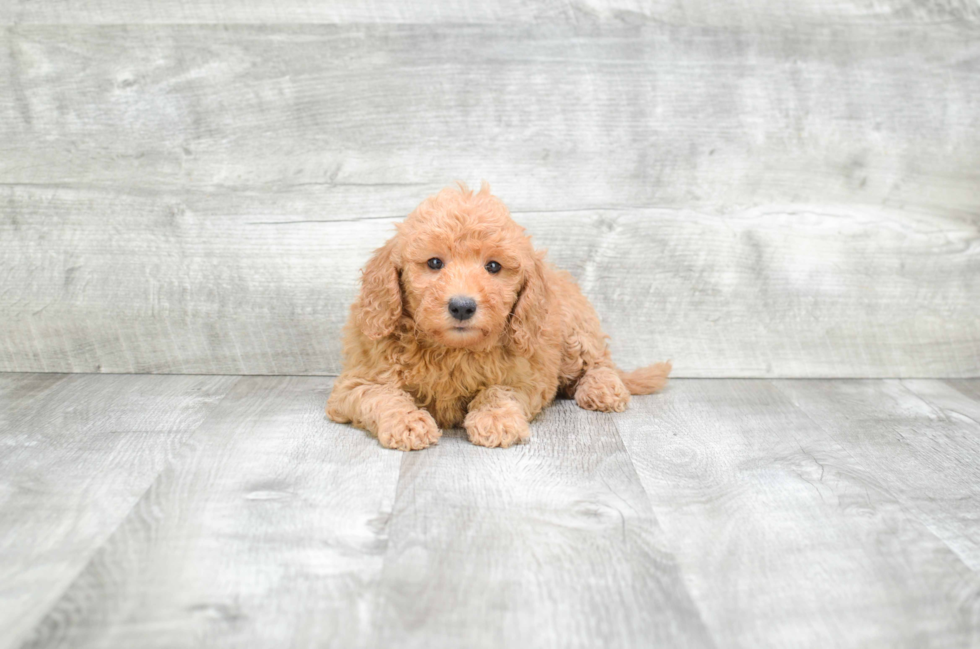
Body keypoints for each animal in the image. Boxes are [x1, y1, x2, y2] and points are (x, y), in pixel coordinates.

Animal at [326, 180, 668, 448]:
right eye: (434, 263)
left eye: (493, 266)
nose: (462, 306)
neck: (451, 350)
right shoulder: (356, 383)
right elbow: (383, 396)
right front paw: (407, 423)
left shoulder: (528, 377)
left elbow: (498, 391)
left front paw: (495, 419)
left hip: (575, 334)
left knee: (599, 362)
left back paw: (602, 389)